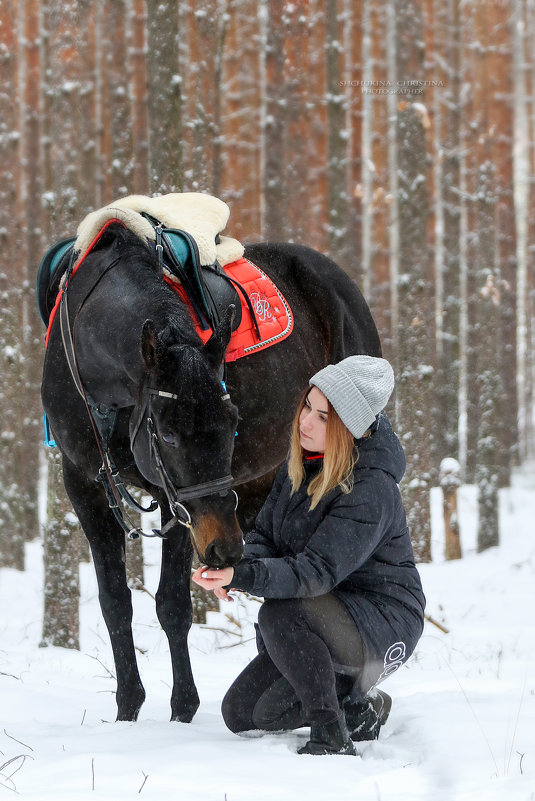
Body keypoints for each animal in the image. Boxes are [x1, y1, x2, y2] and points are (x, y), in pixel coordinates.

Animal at [40, 216, 382, 720]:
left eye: (232, 421)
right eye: (167, 434)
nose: (223, 548)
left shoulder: (178, 503)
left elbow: (173, 605)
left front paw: (183, 708)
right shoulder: (84, 484)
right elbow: (115, 603)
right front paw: (128, 709)